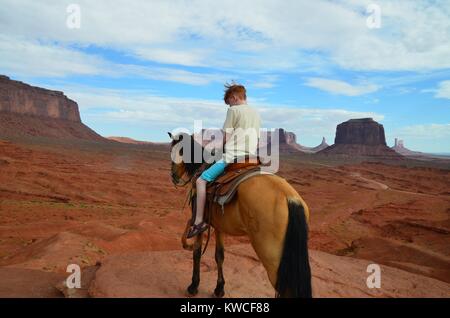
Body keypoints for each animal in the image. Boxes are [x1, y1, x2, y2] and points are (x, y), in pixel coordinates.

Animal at [167, 132, 312, 298]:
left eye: (175, 150)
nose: (173, 176)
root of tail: (289, 197)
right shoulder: (219, 225)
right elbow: (219, 255)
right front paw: (219, 288)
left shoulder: (201, 220)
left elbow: (197, 251)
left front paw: (193, 286)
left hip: (272, 256)